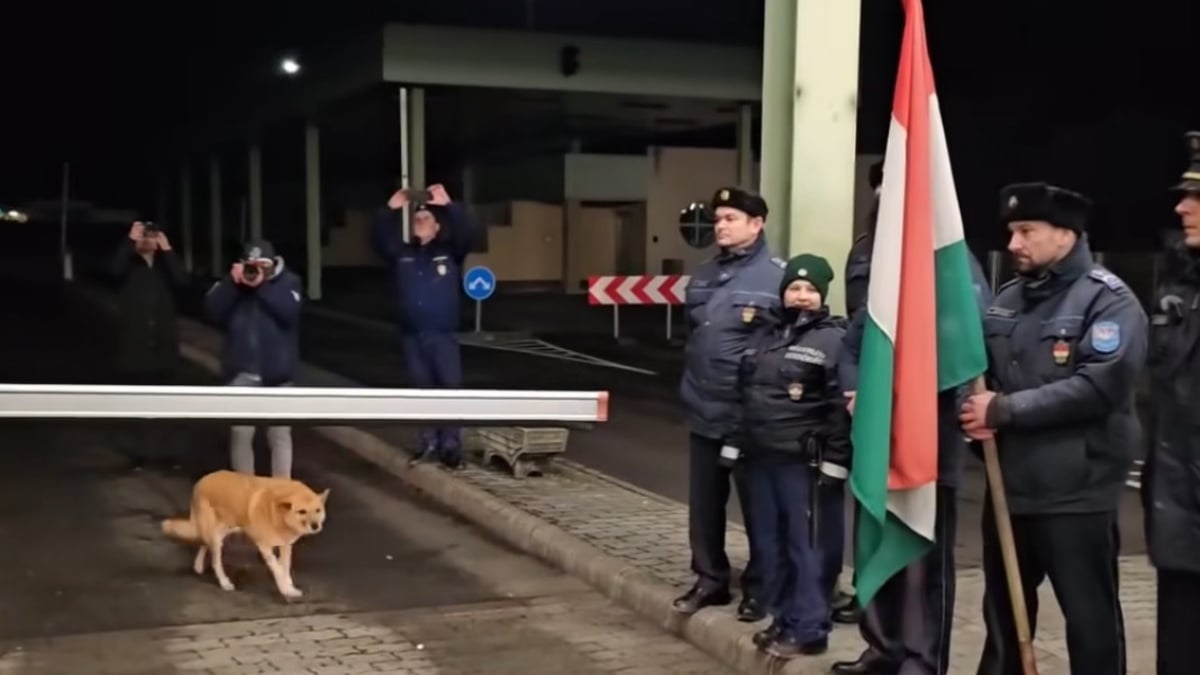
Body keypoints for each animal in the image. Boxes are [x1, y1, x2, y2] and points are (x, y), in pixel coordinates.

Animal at [162, 470, 328, 595]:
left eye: (318, 510)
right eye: (302, 511)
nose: (315, 526)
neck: (277, 512)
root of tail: (202, 480)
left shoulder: (286, 545)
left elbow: (284, 566)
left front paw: (289, 585)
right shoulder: (264, 546)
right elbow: (278, 569)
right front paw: (286, 589)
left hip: (224, 529)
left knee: (203, 542)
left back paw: (197, 566)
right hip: (215, 537)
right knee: (215, 561)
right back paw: (224, 582)